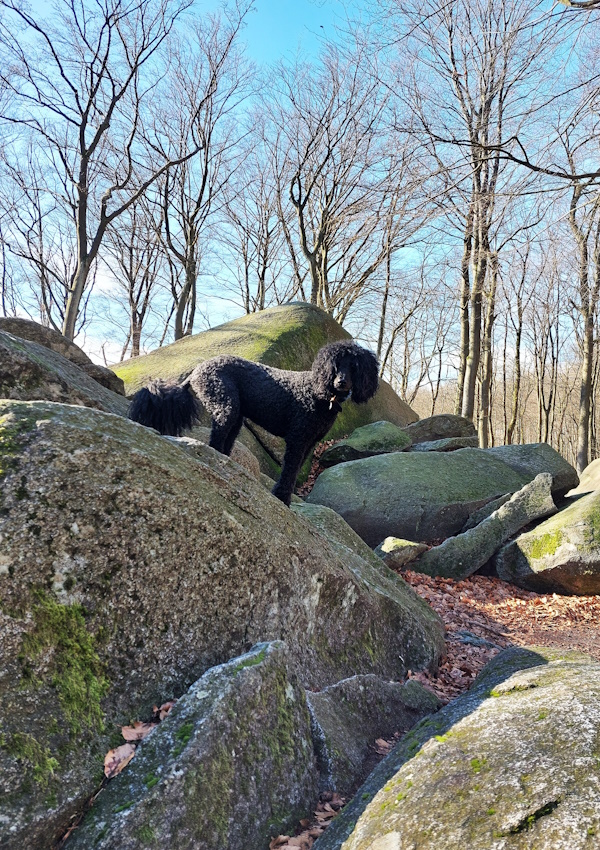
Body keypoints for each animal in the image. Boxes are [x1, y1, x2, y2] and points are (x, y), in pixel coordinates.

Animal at [128, 340, 378, 504]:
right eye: (335, 365)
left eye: (354, 367)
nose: (341, 382)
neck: (320, 395)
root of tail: (196, 371)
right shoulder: (297, 439)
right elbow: (289, 471)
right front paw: (282, 498)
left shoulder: (309, 443)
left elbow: (294, 471)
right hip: (225, 406)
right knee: (216, 439)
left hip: (236, 417)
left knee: (224, 442)